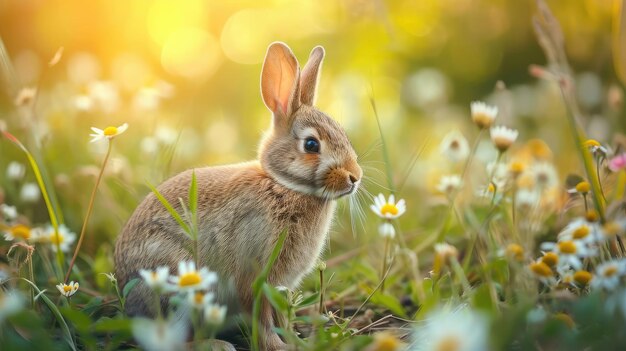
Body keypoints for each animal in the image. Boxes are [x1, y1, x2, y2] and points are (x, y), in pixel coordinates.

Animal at [114, 42, 364, 350]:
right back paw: (217, 345)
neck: (283, 186)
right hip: (179, 281)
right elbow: (261, 316)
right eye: (311, 144)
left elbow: (281, 316)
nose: (355, 176)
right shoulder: (254, 272)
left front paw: (296, 341)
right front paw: (278, 347)